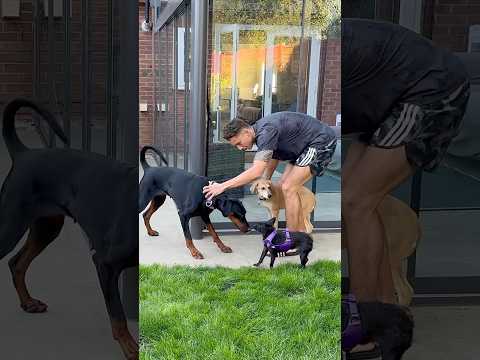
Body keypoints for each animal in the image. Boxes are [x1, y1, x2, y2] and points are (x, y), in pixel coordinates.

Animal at [0, 99, 139, 360]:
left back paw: (29, 303)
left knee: (16, 262)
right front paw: (130, 348)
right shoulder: (105, 264)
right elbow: (118, 315)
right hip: (10, 224)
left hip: (47, 227)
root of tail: (24, 154)